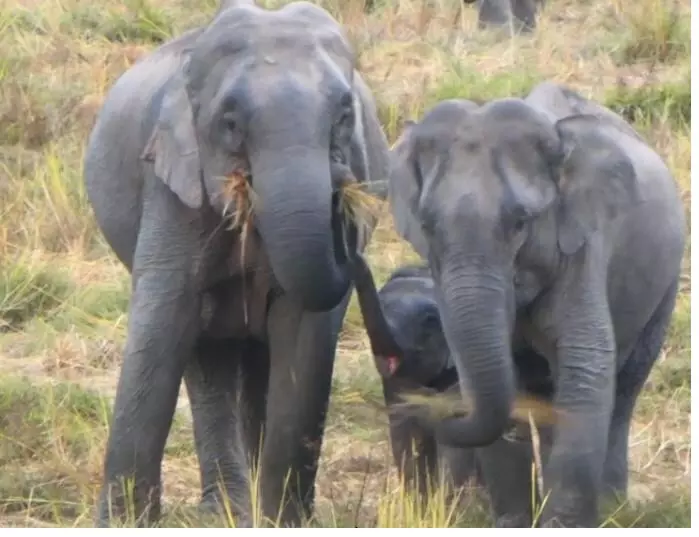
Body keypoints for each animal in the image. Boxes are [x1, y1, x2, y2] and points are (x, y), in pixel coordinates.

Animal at [81, 0, 392, 528]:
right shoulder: (172, 186)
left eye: (345, 115)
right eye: (229, 123)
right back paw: (221, 511)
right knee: (208, 357)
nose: (341, 184)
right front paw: (118, 524)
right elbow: (164, 319)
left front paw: (284, 523)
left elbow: (304, 336)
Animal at [388, 81, 688, 524]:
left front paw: (565, 525)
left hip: (666, 282)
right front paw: (515, 523)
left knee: (626, 387)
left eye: (520, 223)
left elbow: (584, 366)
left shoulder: (584, 243)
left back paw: (613, 506)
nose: (429, 406)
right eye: (426, 226)